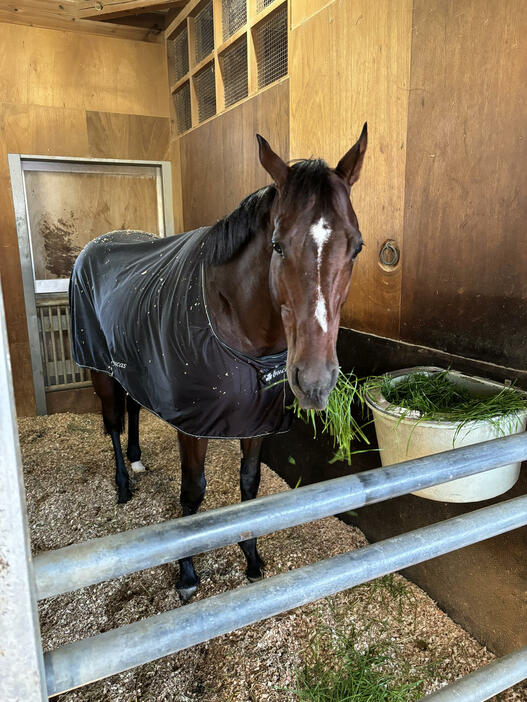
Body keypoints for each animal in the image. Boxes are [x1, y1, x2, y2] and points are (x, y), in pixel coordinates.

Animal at [69, 125, 368, 600]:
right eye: (278, 245)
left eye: (356, 247)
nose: (314, 382)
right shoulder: (193, 427)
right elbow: (193, 495)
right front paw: (187, 575)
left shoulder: (258, 423)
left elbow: (249, 486)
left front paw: (251, 558)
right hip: (100, 370)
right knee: (113, 423)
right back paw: (122, 484)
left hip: (130, 368)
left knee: (132, 410)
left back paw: (136, 459)